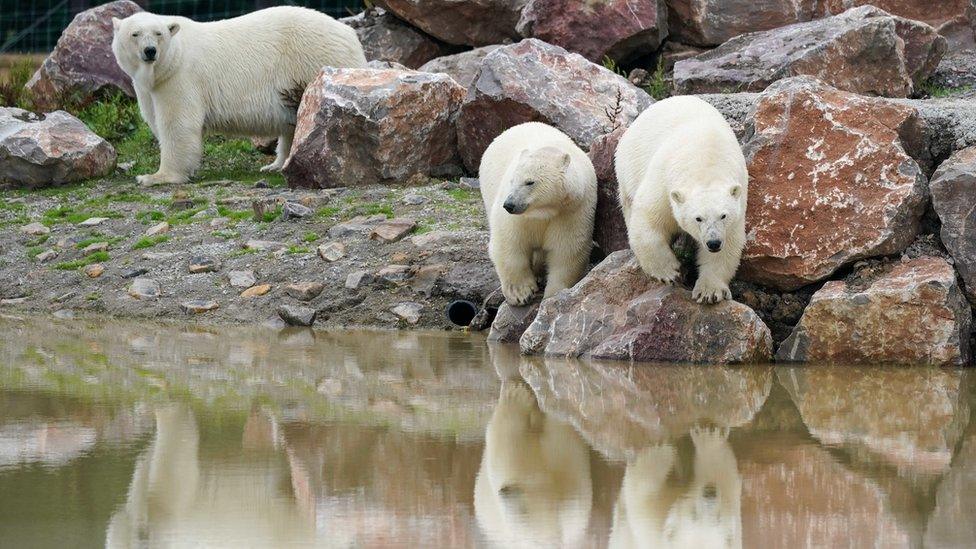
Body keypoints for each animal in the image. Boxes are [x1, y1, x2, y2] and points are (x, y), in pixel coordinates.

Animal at [110, 7, 368, 185]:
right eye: (135, 34)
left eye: (158, 33)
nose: (150, 51)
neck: (171, 59)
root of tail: (349, 33)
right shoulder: (151, 87)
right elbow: (156, 117)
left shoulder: (182, 77)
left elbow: (178, 124)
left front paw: (155, 177)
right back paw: (276, 164)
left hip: (314, 63)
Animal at [478, 121, 600, 306]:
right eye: (512, 180)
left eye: (530, 182)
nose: (509, 204)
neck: (544, 210)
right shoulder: (518, 218)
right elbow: (509, 243)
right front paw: (520, 293)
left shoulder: (573, 210)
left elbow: (567, 251)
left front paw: (553, 295)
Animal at [616, 98, 748, 304]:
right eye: (698, 218)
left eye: (723, 216)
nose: (713, 243)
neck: (707, 162)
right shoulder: (663, 182)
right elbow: (649, 219)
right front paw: (669, 272)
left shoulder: (738, 203)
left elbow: (730, 244)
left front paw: (709, 292)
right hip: (629, 166)